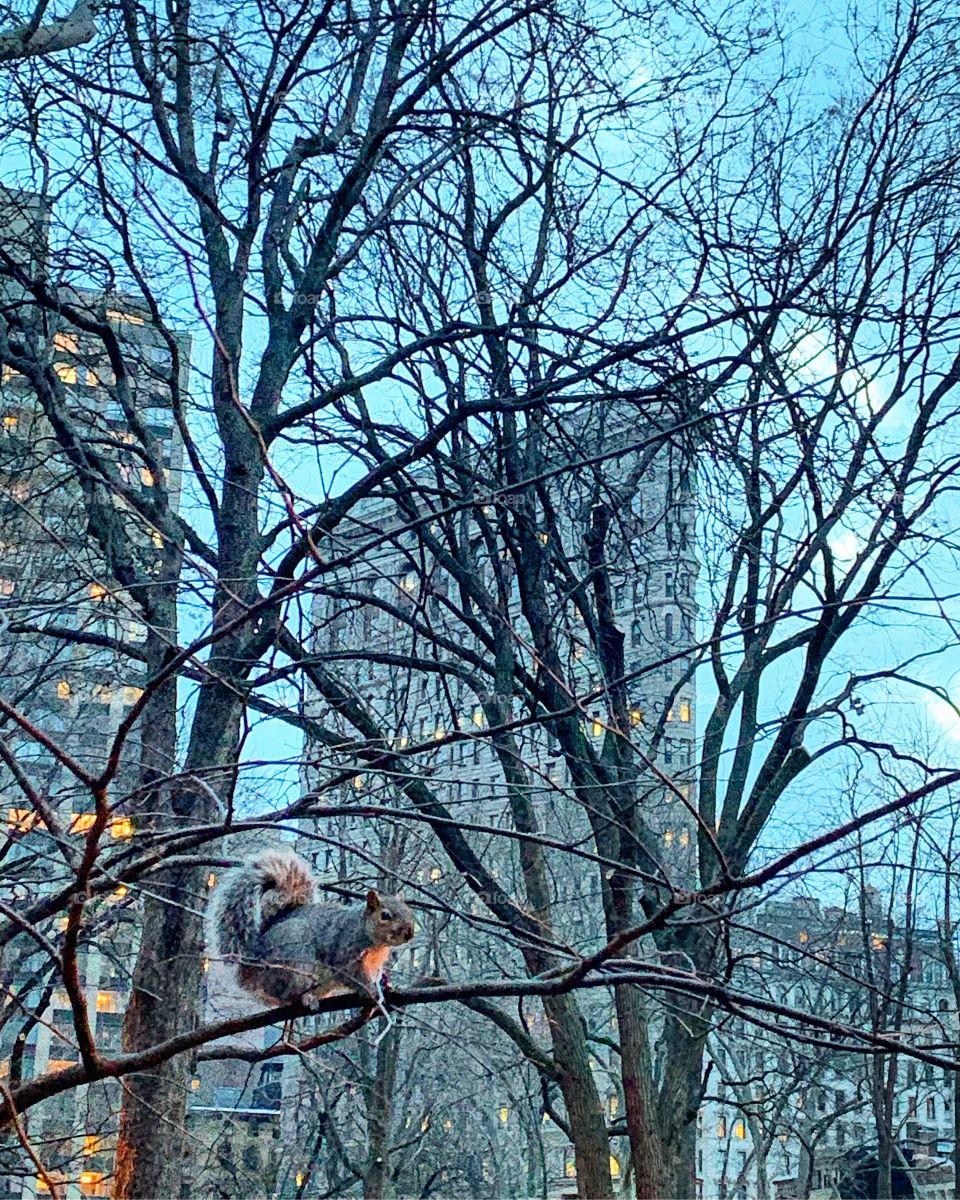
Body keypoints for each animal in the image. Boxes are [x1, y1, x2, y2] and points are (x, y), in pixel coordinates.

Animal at [210, 848, 415, 1019]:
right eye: (385, 915)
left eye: (409, 911)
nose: (410, 933)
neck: (375, 942)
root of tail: (254, 959)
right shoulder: (344, 952)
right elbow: (352, 975)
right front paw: (370, 990)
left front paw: (384, 983)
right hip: (296, 959)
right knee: (287, 993)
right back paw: (306, 998)